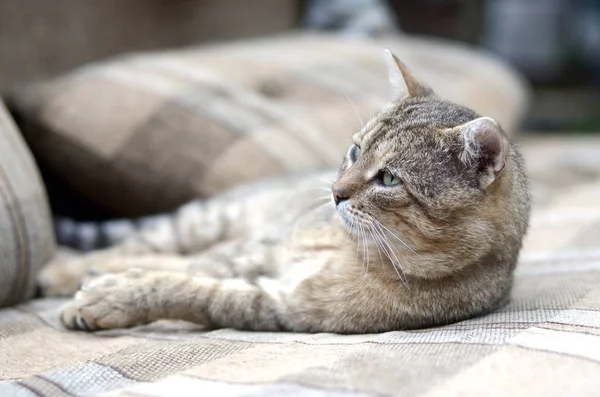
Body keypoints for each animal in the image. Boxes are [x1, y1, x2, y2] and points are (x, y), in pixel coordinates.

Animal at [38, 49, 528, 332]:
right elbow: (189, 268)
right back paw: (63, 272)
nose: (335, 192)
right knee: (150, 246)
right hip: (206, 221)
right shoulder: (259, 250)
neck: (357, 252)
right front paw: (102, 287)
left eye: (388, 178)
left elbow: (194, 291)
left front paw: (109, 296)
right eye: (355, 150)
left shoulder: (280, 306)